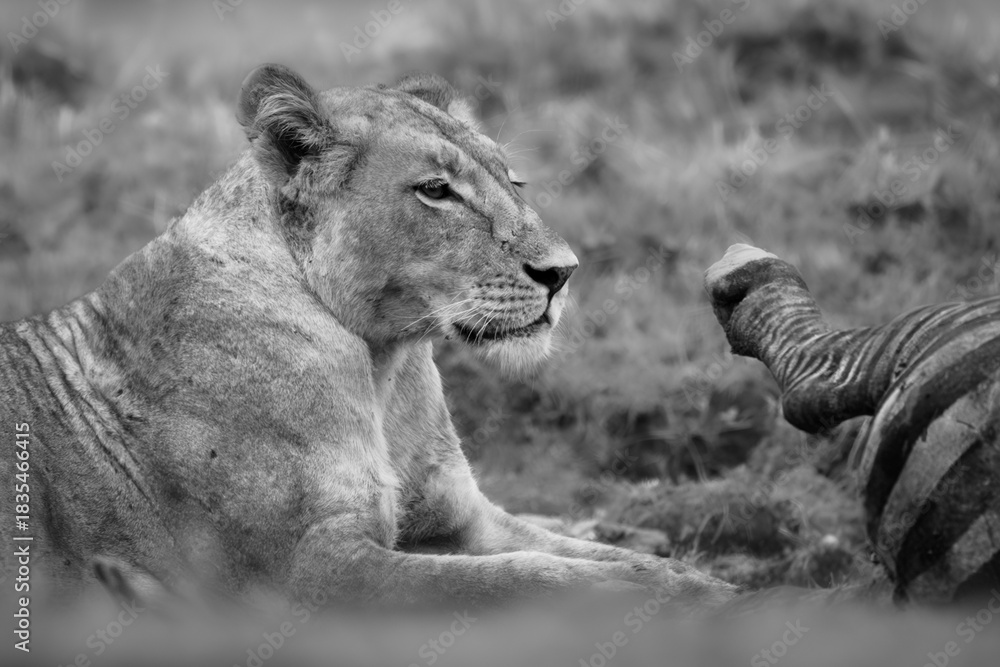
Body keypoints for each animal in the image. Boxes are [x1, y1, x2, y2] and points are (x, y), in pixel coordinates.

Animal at [0, 64, 736, 610]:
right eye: (437, 190)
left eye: (512, 179)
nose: (563, 272)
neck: (386, 361)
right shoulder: (308, 565)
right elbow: (519, 577)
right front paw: (653, 597)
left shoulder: (462, 518)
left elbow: (595, 555)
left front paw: (702, 583)